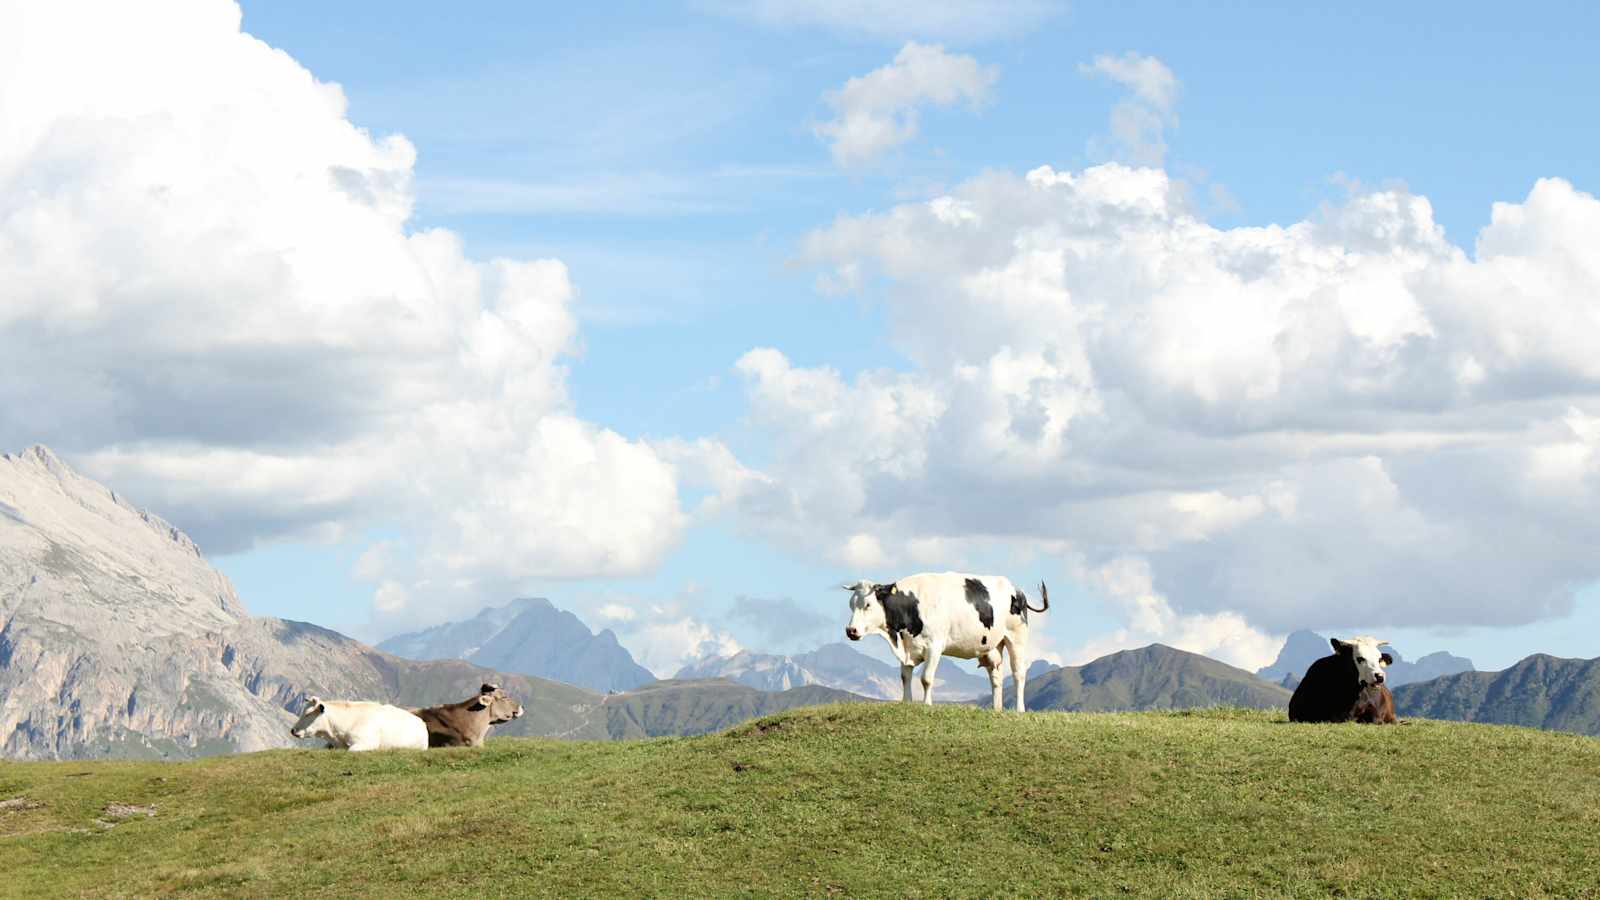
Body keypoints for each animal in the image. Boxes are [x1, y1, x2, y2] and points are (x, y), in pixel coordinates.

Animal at [838, 570, 1049, 711]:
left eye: (868, 604)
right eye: (850, 605)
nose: (851, 630)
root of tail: (1016, 589)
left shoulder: (934, 646)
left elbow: (926, 678)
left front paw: (927, 704)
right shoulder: (908, 647)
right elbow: (905, 677)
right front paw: (907, 703)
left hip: (1016, 638)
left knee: (1018, 674)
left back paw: (1019, 710)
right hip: (992, 646)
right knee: (996, 677)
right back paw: (996, 710)